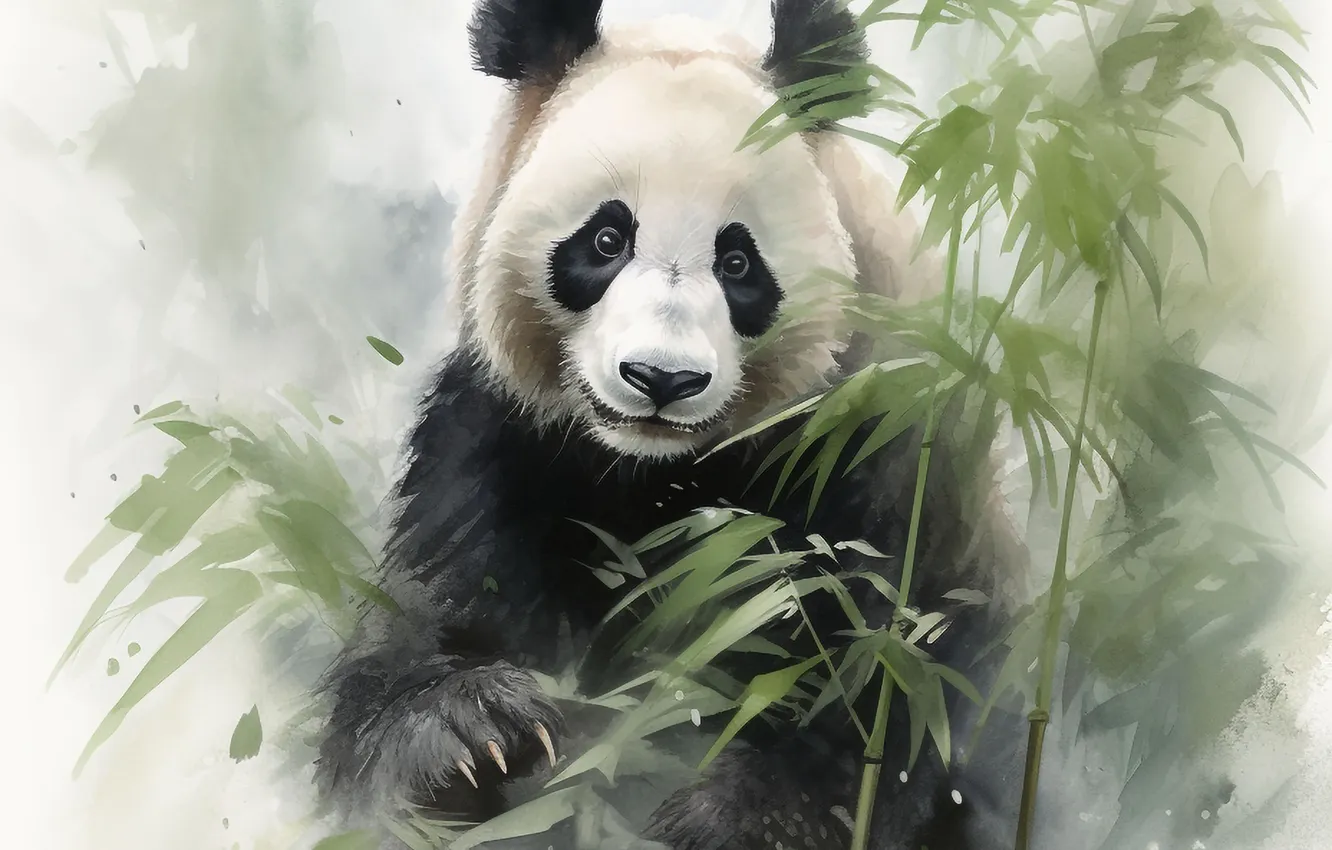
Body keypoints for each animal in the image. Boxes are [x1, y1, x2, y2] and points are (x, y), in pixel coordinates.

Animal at [314, 1, 1030, 848]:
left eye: (738, 261)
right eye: (605, 239)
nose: (661, 379)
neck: (660, 469)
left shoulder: (874, 441)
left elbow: (884, 665)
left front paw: (737, 816)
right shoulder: (502, 437)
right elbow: (425, 616)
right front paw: (470, 733)